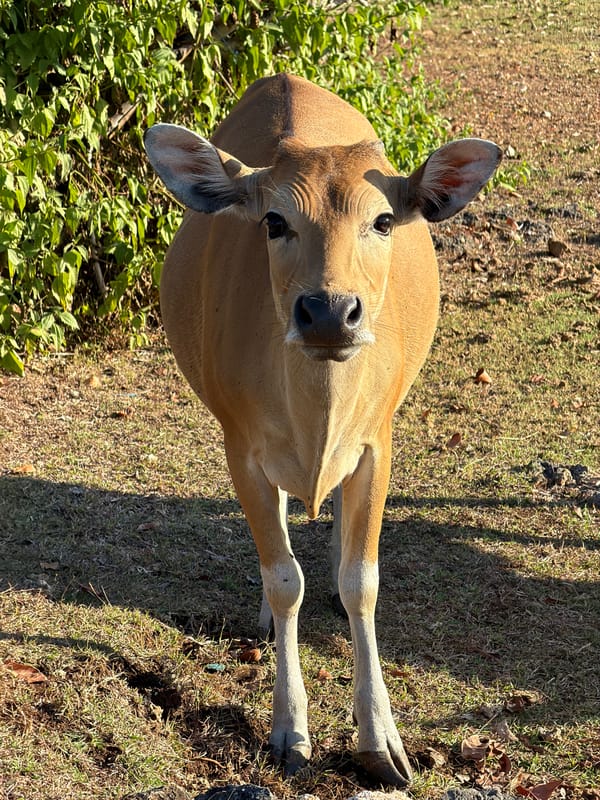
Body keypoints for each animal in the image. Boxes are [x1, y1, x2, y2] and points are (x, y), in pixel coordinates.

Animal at [144, 73, 501, 787]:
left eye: (383, 220)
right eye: (275, 221)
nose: (330, 312)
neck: (317, 416)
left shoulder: (377, 445)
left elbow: (362, 582)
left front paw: (381, 740)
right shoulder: (241, 449)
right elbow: (284, 578)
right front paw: (290, 729)